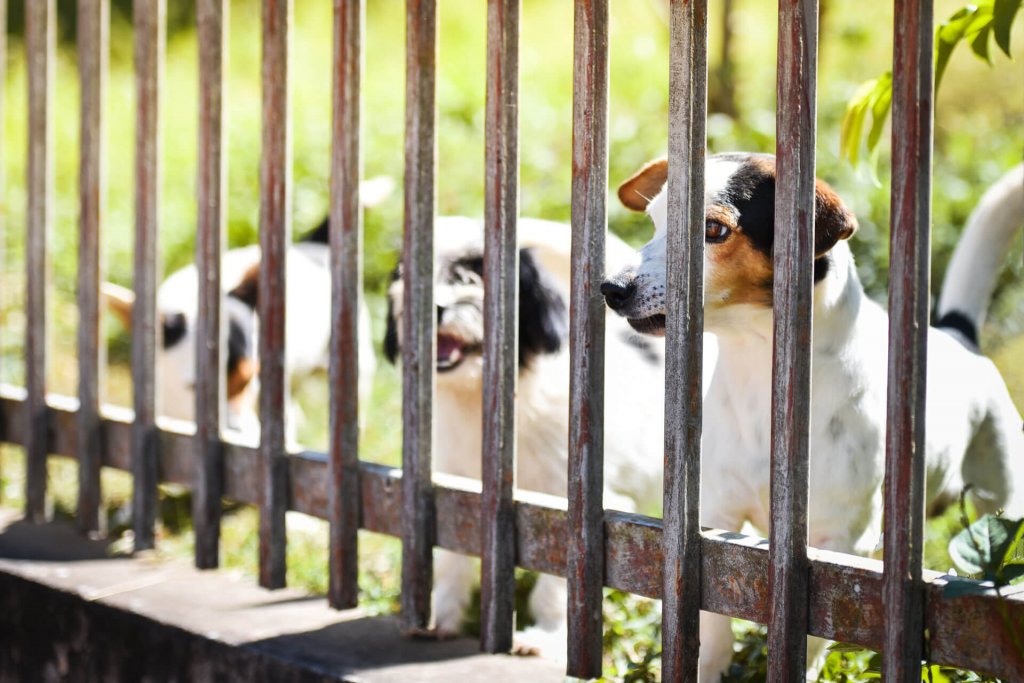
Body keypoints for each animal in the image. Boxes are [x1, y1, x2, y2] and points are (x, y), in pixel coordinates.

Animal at [380, 216, 692, 659]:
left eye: (475, 272)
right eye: (411, 273)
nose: (437, 307)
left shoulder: (572, 499)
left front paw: (547, 634)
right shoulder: (453, 484)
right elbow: (454, 548)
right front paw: (443, 617)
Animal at [598, 154, 1024, 679]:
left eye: (714, 230)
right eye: (656, 220)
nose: (611, 288)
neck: (757, 374)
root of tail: (958, 338)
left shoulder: (837, 543)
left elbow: (816, 638)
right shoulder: (712, 520)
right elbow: (712, 628)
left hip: (1000, 499)